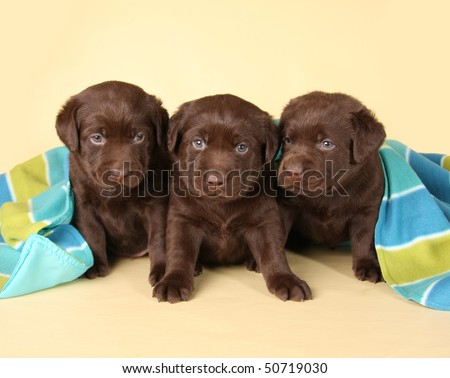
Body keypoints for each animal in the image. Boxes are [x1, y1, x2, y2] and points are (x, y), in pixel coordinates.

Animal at [55, 82, 169, 284]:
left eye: (139, 137)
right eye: (97, 138)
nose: (121, 173)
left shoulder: (156, 204)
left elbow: (159, 236)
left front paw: (163, 269)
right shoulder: (83, 202)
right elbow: (91, 232)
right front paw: (94, 264)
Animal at [153, 95, 312, 304]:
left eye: (241, 147)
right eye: (198, 143)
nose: (215, 180)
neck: (221, 205)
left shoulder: (265, 220)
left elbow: (274, 252)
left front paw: (286, 279)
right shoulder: (183, 219)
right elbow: (180, 251)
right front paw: (173, 281)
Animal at [280, 91, 384, 282]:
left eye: (327, 144)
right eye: (288, 140)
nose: (292, 171)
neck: (329, 192)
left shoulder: (367, 210)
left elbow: (364, 239)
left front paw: (368, 264)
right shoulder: (286, 205)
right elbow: (279, 231)